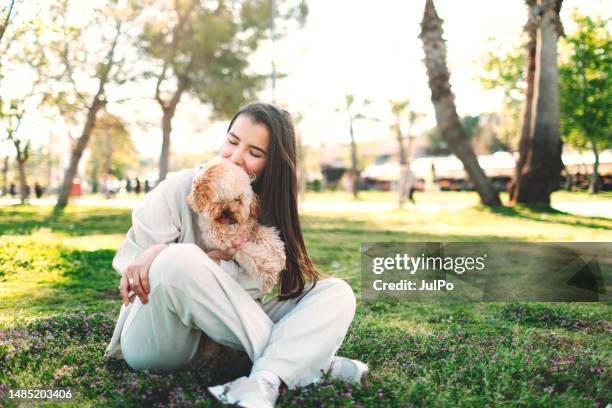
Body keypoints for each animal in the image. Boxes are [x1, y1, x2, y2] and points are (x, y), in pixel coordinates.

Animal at [186, 157, 284, 294]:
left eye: (238, 199)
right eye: (219, 199)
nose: (227, 211)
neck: (232, 228)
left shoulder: (252, 228)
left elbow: (265, 234)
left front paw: (278, 252)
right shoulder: (235, 247)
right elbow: (252, 254)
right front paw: (268, 274)